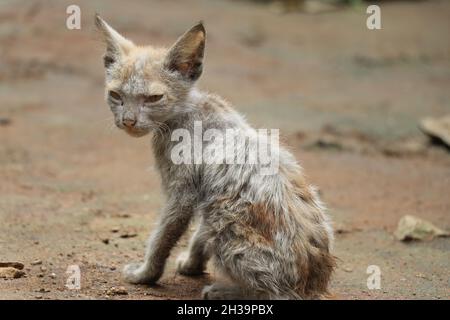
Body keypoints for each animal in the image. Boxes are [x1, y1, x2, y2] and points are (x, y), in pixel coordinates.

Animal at [95, 15, 334, 300]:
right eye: (115, 95)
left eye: (153, 98)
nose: (128, 121)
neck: (187, 110)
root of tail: (311, 286)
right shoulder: (202, 194)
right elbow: (199, 235)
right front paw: (191, 264)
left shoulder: (182, 194)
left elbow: (162, 237)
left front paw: (145, 274)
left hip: (226, 219)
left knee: (274, 293)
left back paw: (225, 290)